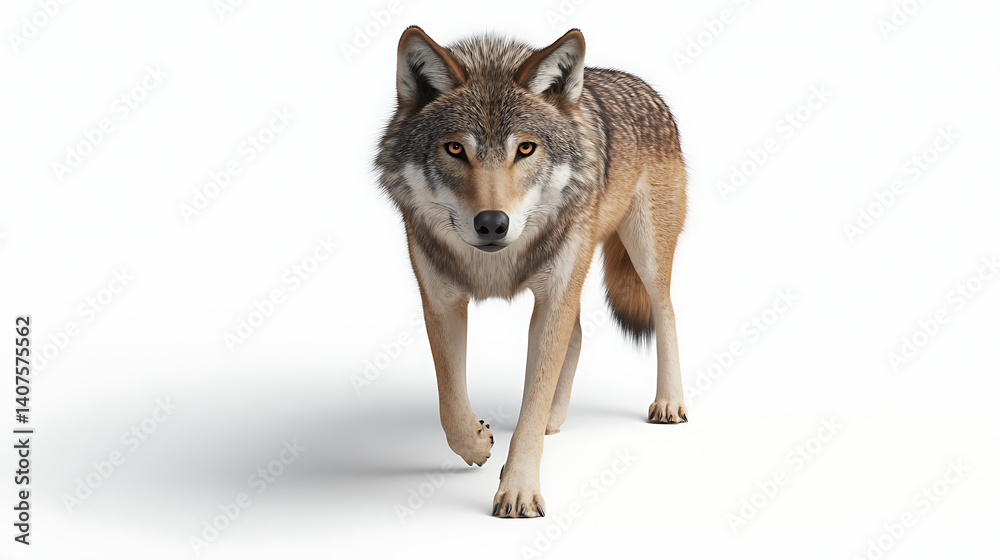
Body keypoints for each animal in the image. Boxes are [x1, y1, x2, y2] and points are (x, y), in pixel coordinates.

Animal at [375, 26, 688, 518]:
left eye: (525, 148)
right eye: (455, 148)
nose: (492, 223)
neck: (493, 263)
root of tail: (639, 84)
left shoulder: (554, 294)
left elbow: (532, 395)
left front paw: (519, 489)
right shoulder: (442, 301)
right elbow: (450, 401)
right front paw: (478, 443)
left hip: (644, 255)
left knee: (666, 311)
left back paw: (669, 403)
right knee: (577, 334)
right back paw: (554, 420)